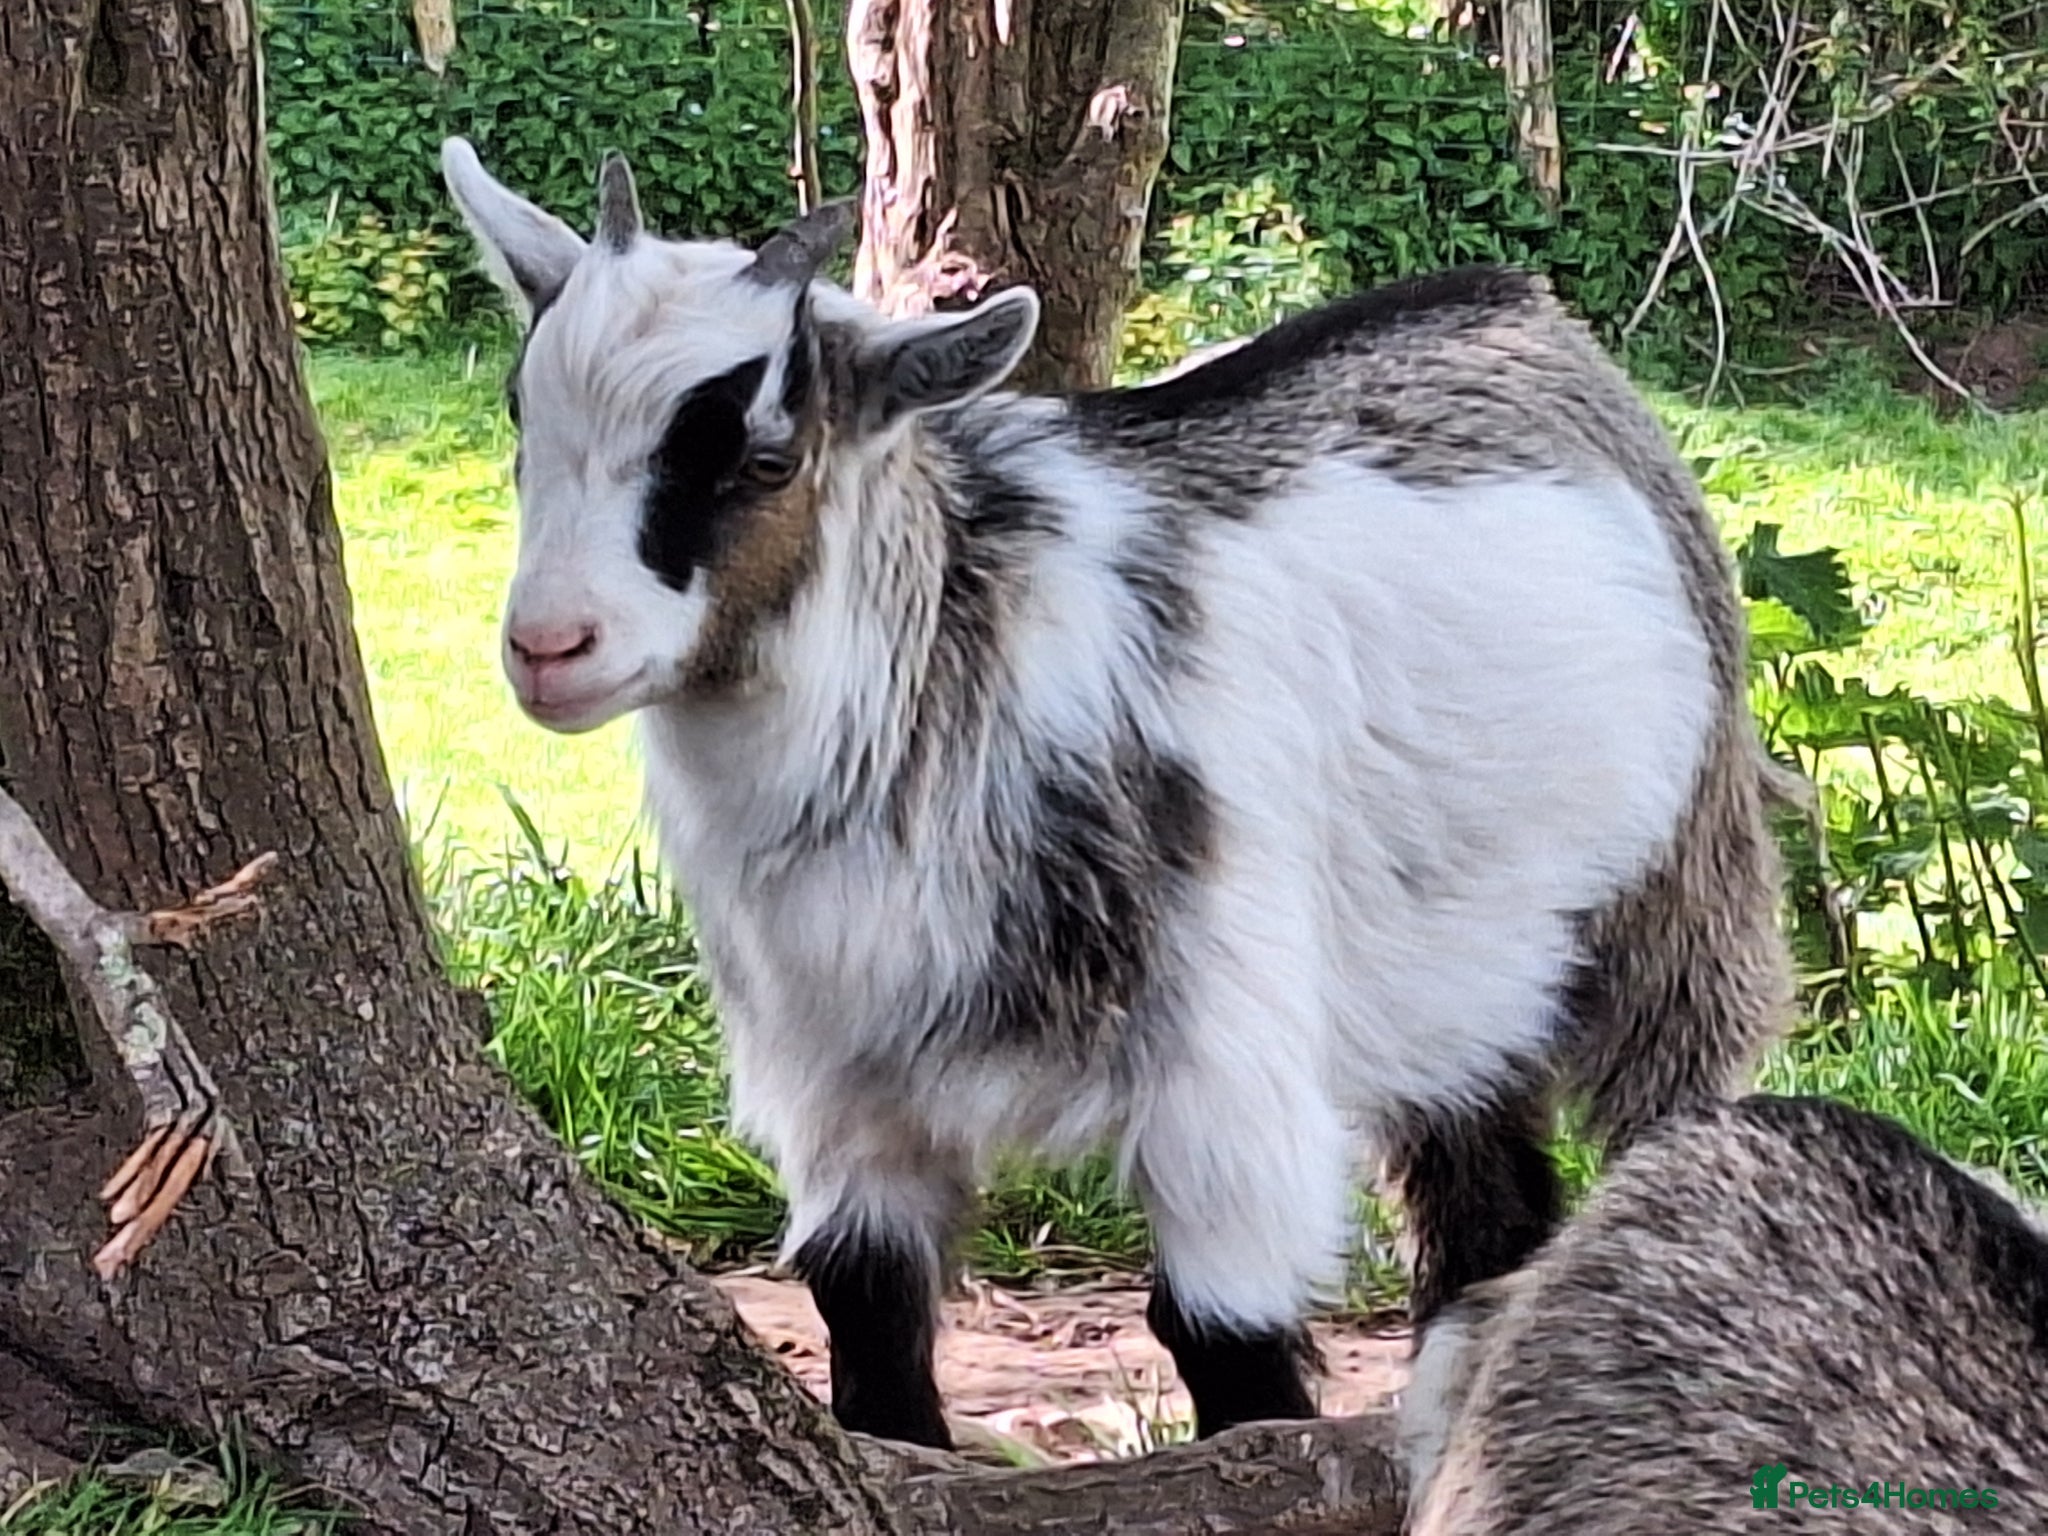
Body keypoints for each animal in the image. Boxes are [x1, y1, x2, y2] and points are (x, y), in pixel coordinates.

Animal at [438, 138, 1794, 1449]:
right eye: (522, 425)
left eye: (765, 459)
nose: (549, 647)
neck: (960, 651)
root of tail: (1527, 313)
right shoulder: (836, 1074)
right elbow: (865, 1320)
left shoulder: (1220, 1059)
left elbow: (1224, 1347)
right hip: (1462, 964)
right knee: (1485, 1197)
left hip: (1679, 894)